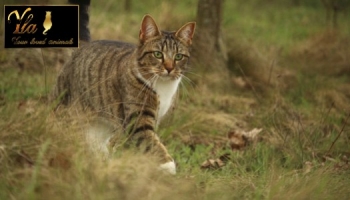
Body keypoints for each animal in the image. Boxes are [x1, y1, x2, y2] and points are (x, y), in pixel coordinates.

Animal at [51, 14, 196, 174]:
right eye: (158, 54)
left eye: (178, 56)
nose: (170, 68)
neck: (163, 87)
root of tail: (84, 45)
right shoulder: (138, 121)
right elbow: (151, 142)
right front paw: (168, 166)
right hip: (65, 108)